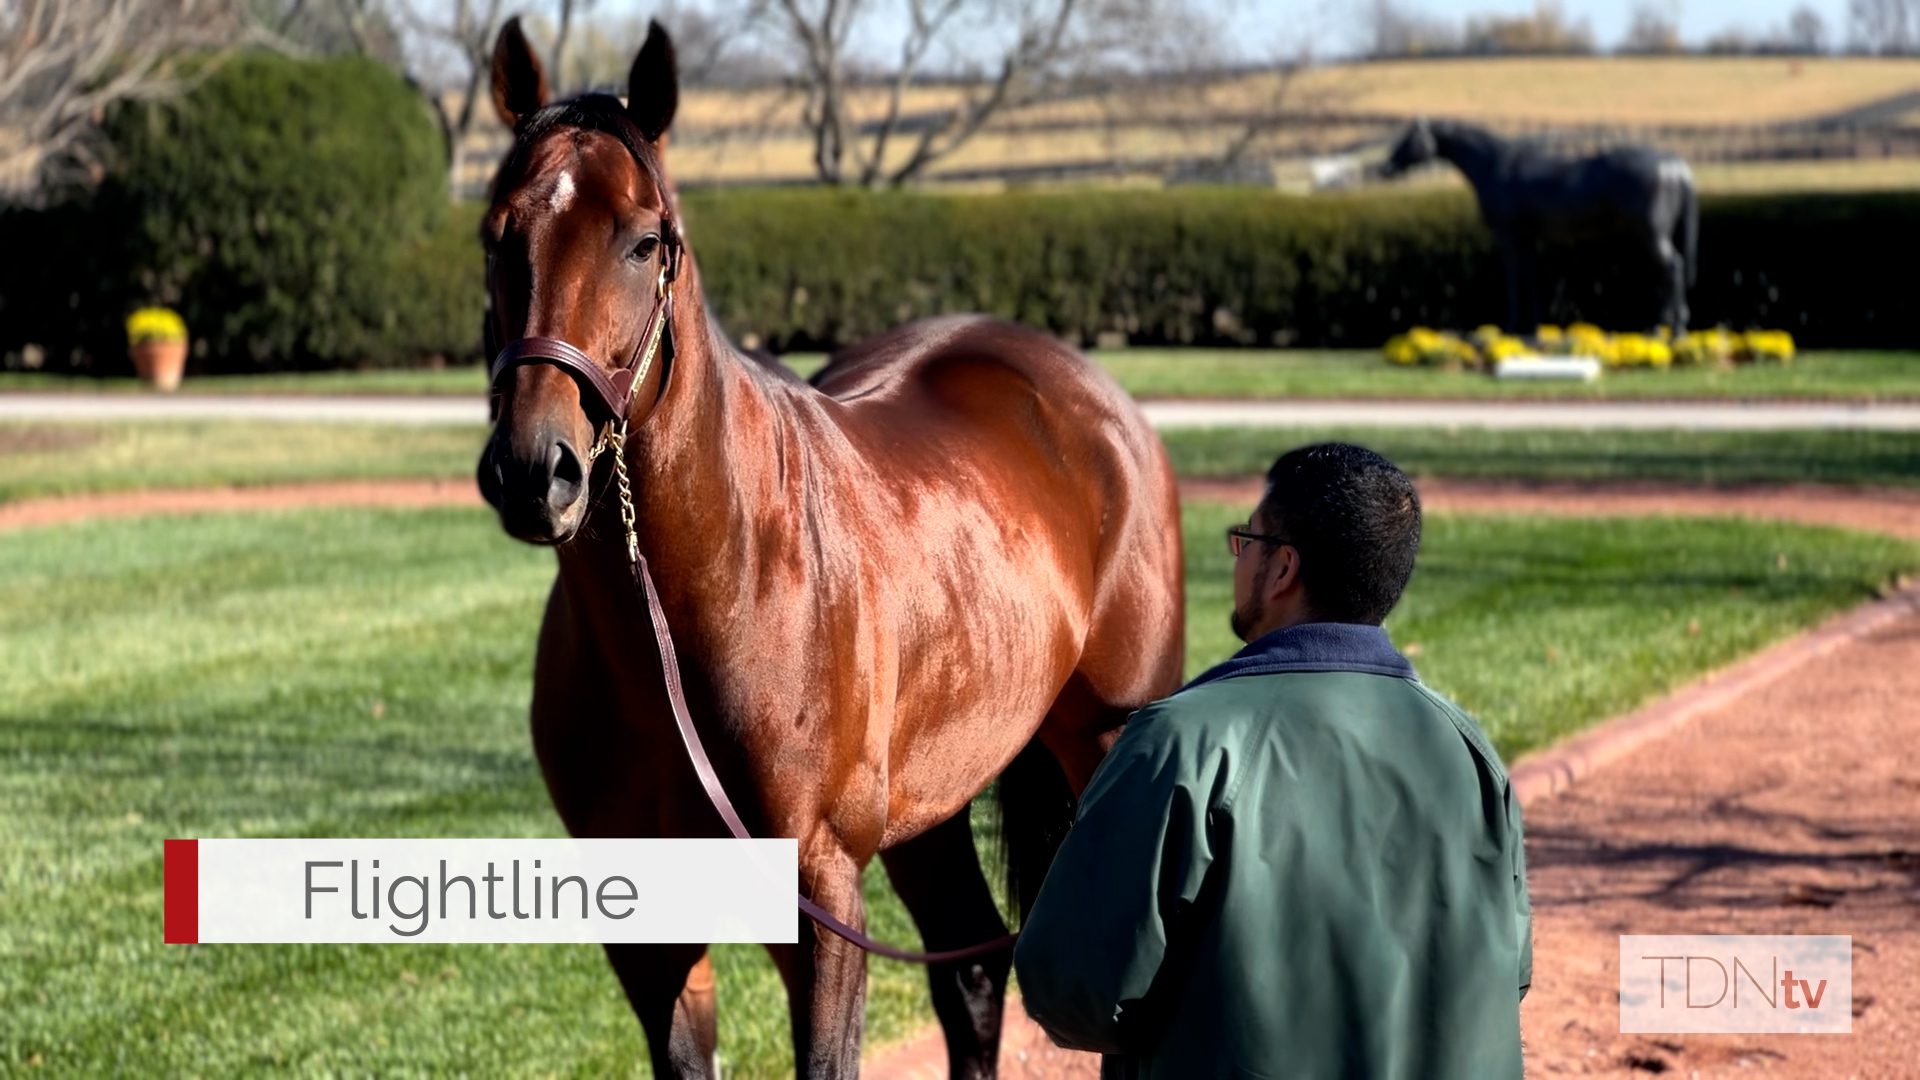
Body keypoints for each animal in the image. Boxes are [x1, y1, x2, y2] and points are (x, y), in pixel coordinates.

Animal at [470, 16, 1182, 1076]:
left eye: (645, 241)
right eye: (497, 234)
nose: (533, 467)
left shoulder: (819, 893)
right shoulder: (646, 925)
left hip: (1101, 749)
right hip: (932, 804)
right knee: (973, 969)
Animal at [1382, 117, 1697, 332]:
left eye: (1410, 139)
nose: (1385, 168)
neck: (1496, 166)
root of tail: (1675, 165)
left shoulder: (1508, 237)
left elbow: (1514, 278)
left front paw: (1512, 326)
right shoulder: (1527, 238)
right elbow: (1529, 278)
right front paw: (1531, 327)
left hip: (1651, 234)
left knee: (1673, 268)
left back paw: (1669, 328)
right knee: (1668, 272)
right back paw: (1668, 325)